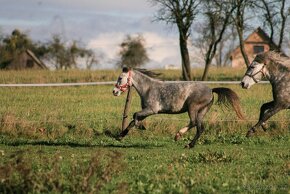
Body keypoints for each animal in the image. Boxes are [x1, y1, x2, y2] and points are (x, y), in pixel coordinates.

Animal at [113, 67, 245, 148]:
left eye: (120, 78)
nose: (114, 91)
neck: (148, 88)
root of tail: (211, 90)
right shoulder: (146, 111)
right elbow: (132, 121)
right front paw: (120, 136)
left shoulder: (151, 110)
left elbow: (134, 115)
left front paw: (141, 127)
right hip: (202, 111)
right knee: (200, 127)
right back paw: (188, 143)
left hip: (193, 107)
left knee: (194, 123)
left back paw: (180, 137)